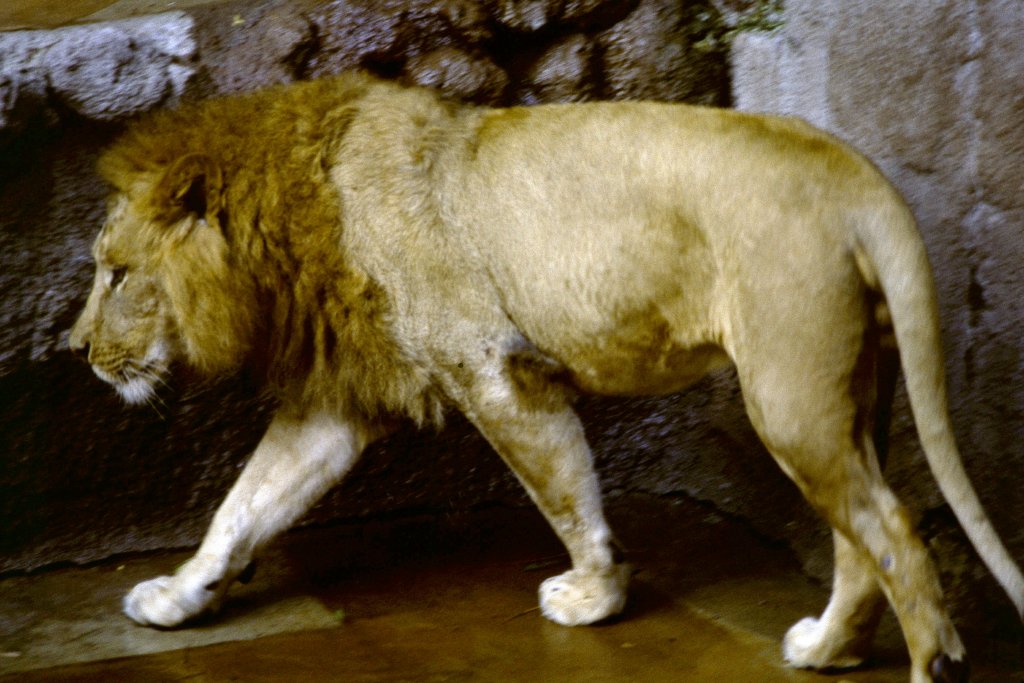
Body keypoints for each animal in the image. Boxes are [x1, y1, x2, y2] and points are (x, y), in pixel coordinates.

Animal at [69, 72, 1022, 683]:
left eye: (117, 274)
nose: (76, 349)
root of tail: (858, 177)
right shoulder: (337, 404)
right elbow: (245, 504)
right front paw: (179, 594)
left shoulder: (494, 369)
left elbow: (564, 490)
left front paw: (594, 594)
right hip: (852, 395)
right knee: (862, 534)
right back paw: (826, 651)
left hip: (789, 394)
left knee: (894, 531)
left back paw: (929, 665)